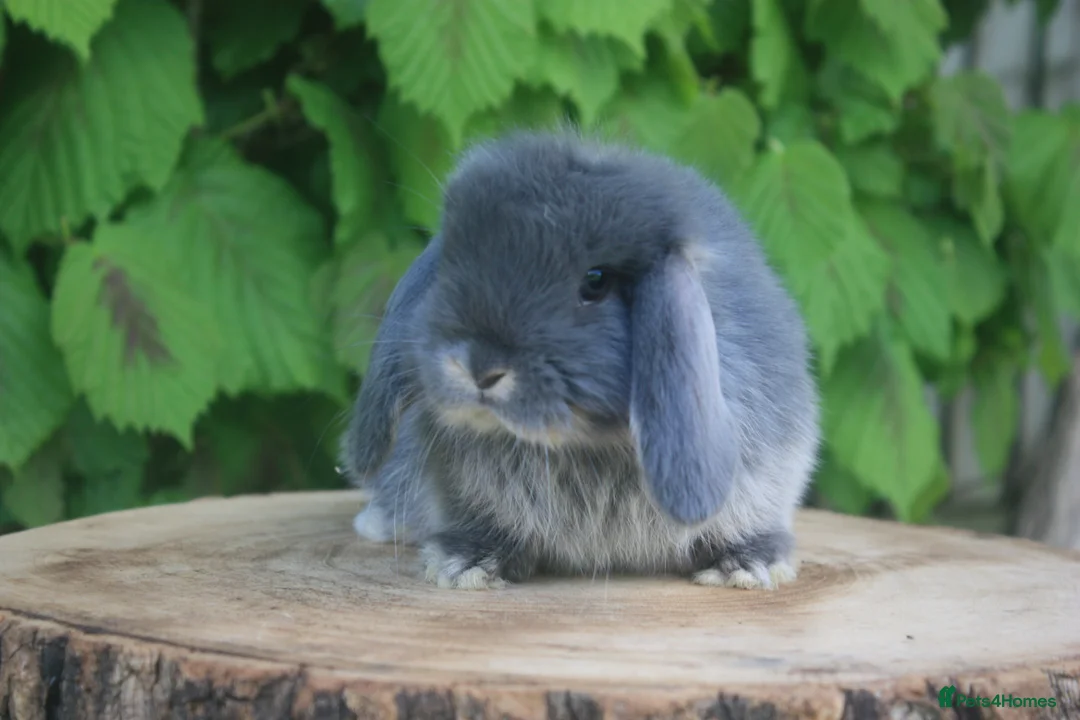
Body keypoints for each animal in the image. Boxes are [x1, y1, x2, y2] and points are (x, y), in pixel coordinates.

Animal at [339, 130, 821, 590]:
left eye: (596, 281)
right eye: (451, 263)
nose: (477, 368)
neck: (581, 445)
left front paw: (748, 566)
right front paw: (463, 564)